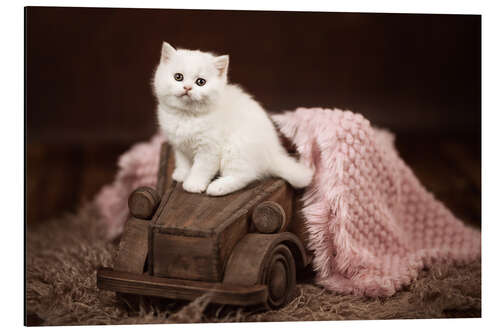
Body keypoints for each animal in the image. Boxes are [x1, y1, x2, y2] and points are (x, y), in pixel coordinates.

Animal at [152, 42, 312, 196]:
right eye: (178, 77)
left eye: (200, 82)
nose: (187, 88)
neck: (186, 116)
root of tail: (273, 153)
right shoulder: (179, 145)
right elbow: (183, 161)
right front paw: (182, 174)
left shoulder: (209, 149)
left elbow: (201, 168)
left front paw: (193, 184)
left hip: (236, 148)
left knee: (244, 176)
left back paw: (218, 187)